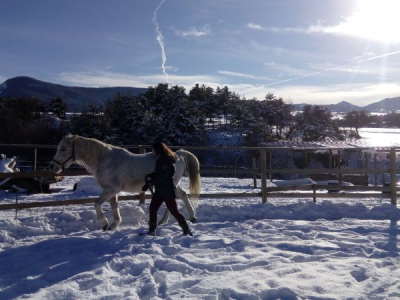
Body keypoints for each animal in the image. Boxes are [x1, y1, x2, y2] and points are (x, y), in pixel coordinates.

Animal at [48, 134, 202, 230]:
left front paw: (104, 223)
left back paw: (169, 220)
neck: (105, 160)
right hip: (173, 183)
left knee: (174, 198)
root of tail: (178, 154)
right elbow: (114, 206)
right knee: (182, 195)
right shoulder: (111, 190)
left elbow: (97, 204)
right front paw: (114, 225)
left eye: (63, 149)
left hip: (170, 184)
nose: (52, 166)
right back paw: (189, 217)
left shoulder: (111, 189)